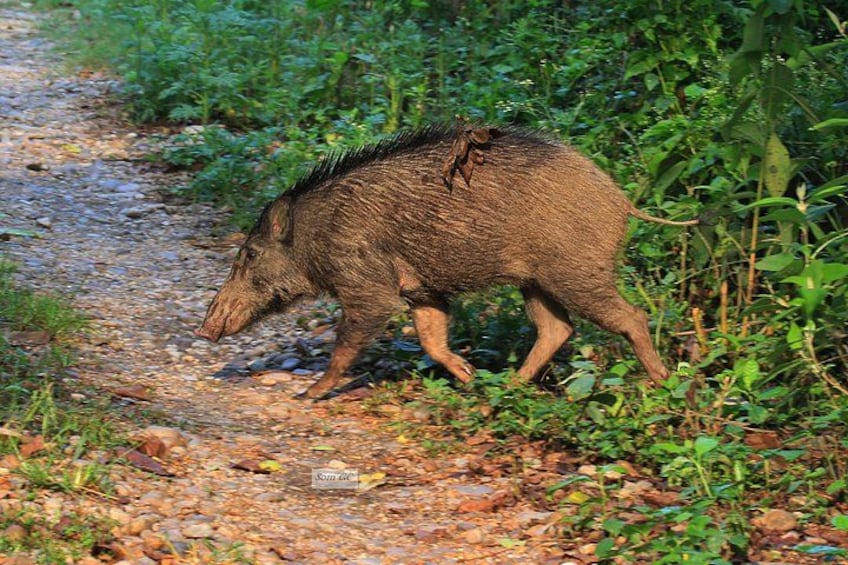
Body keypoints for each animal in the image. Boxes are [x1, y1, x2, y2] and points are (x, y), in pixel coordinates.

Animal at [196, 124, 697, 399]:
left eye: (249, 254)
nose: (204, 329)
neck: (313, 237)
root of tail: (623, 203)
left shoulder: (368, 287)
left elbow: (346, 346)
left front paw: (309, 392)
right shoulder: (422, 291)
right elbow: (431, 340)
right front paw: (469, 377)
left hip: (575, 272)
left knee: (631, 316)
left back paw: (661, 382)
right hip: (535, 282)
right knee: (556, 329)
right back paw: (506, 387)